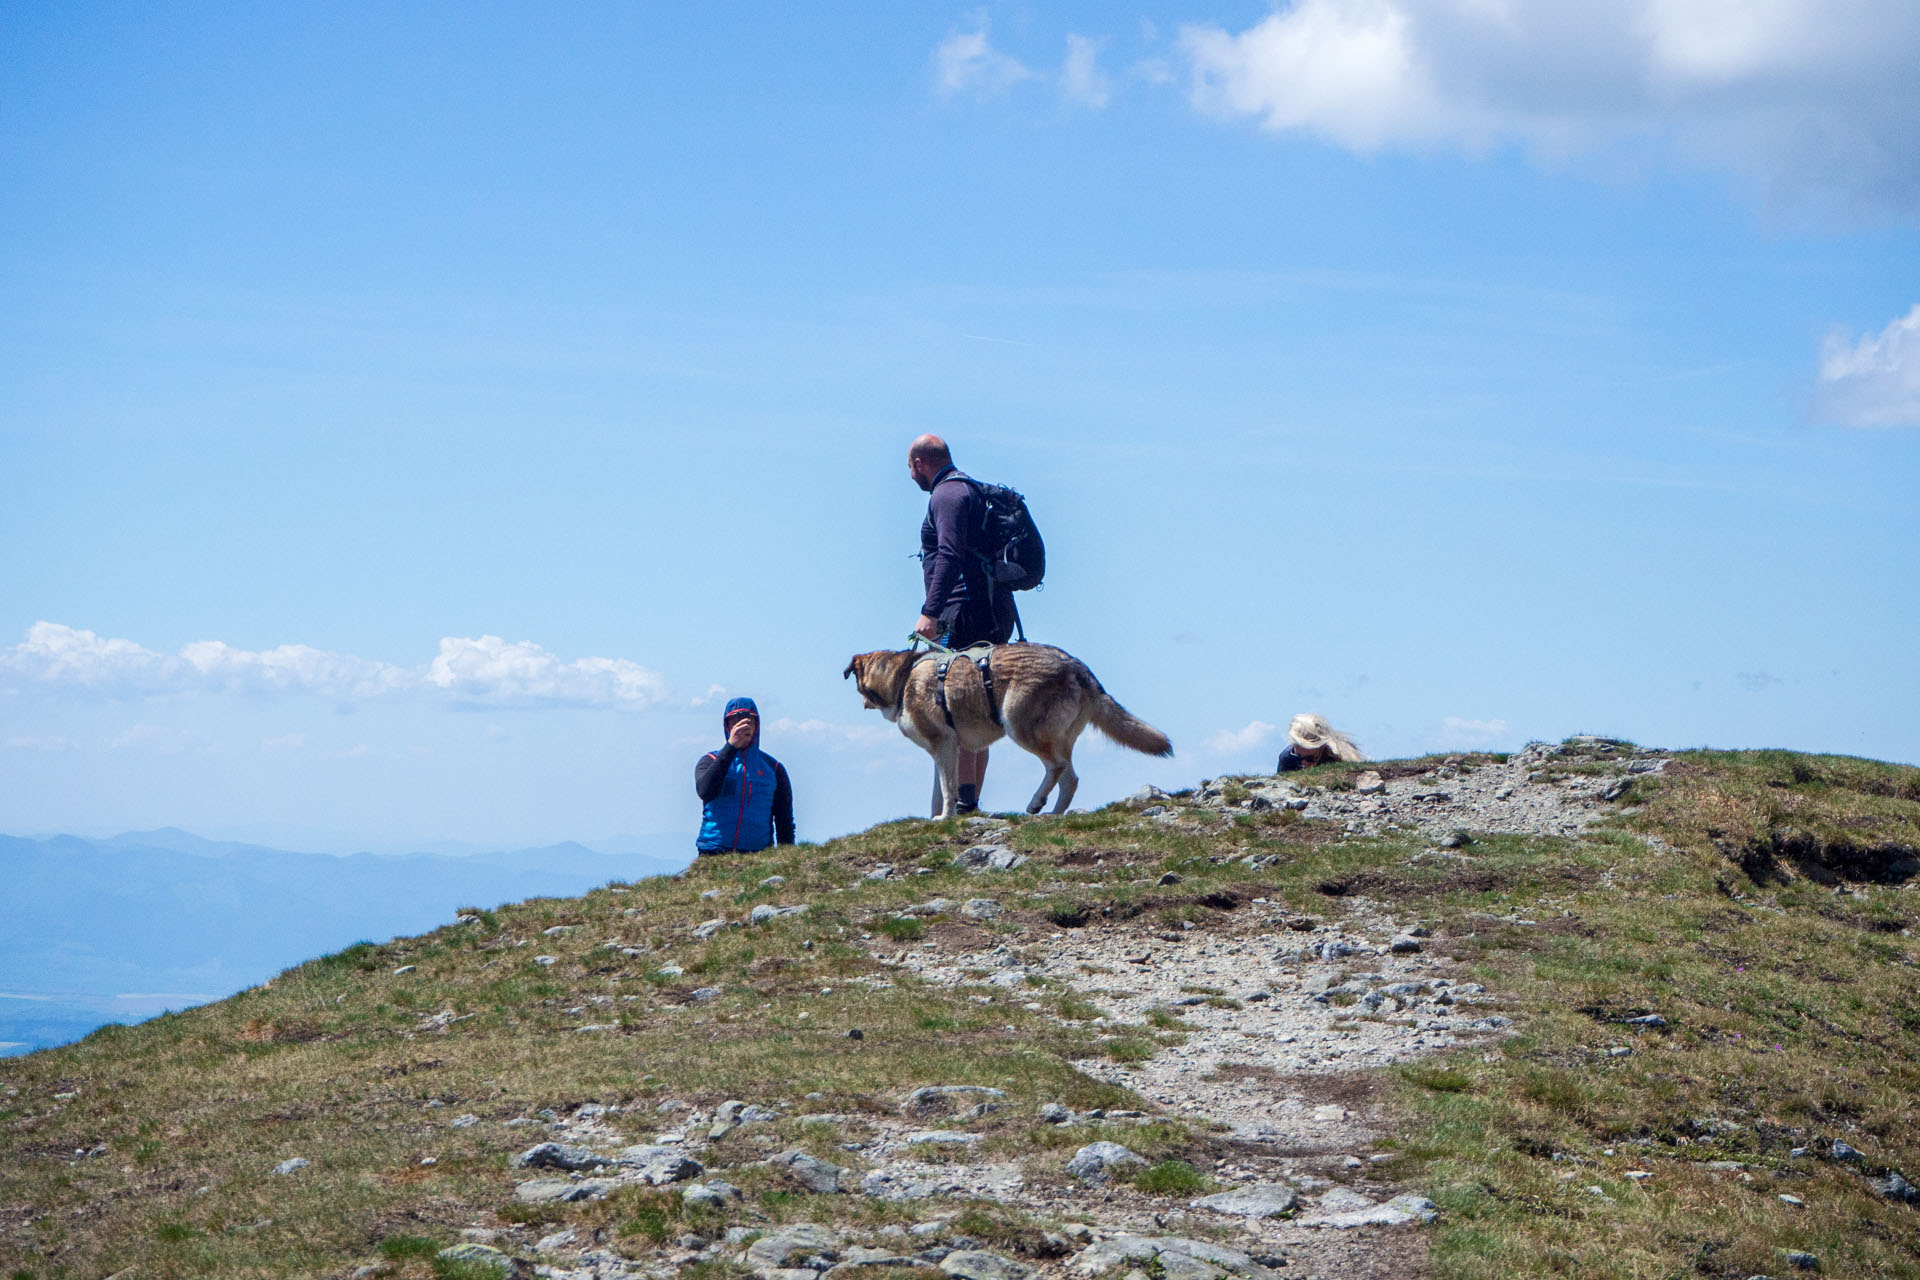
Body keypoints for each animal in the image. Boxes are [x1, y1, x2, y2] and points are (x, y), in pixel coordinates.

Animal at [840, 644, 1167, 817]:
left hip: (1018, 726)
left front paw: (945, 818)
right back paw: (1053, 814)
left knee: (1056, 767)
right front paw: (937, 817)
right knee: (1070, 778)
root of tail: (1077, 666)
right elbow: (938, 791)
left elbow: (947, 790)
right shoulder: (944, 751)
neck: (902, 676)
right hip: (1055, 738)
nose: (861, 704)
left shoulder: (944, 745)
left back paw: (1036, 802)